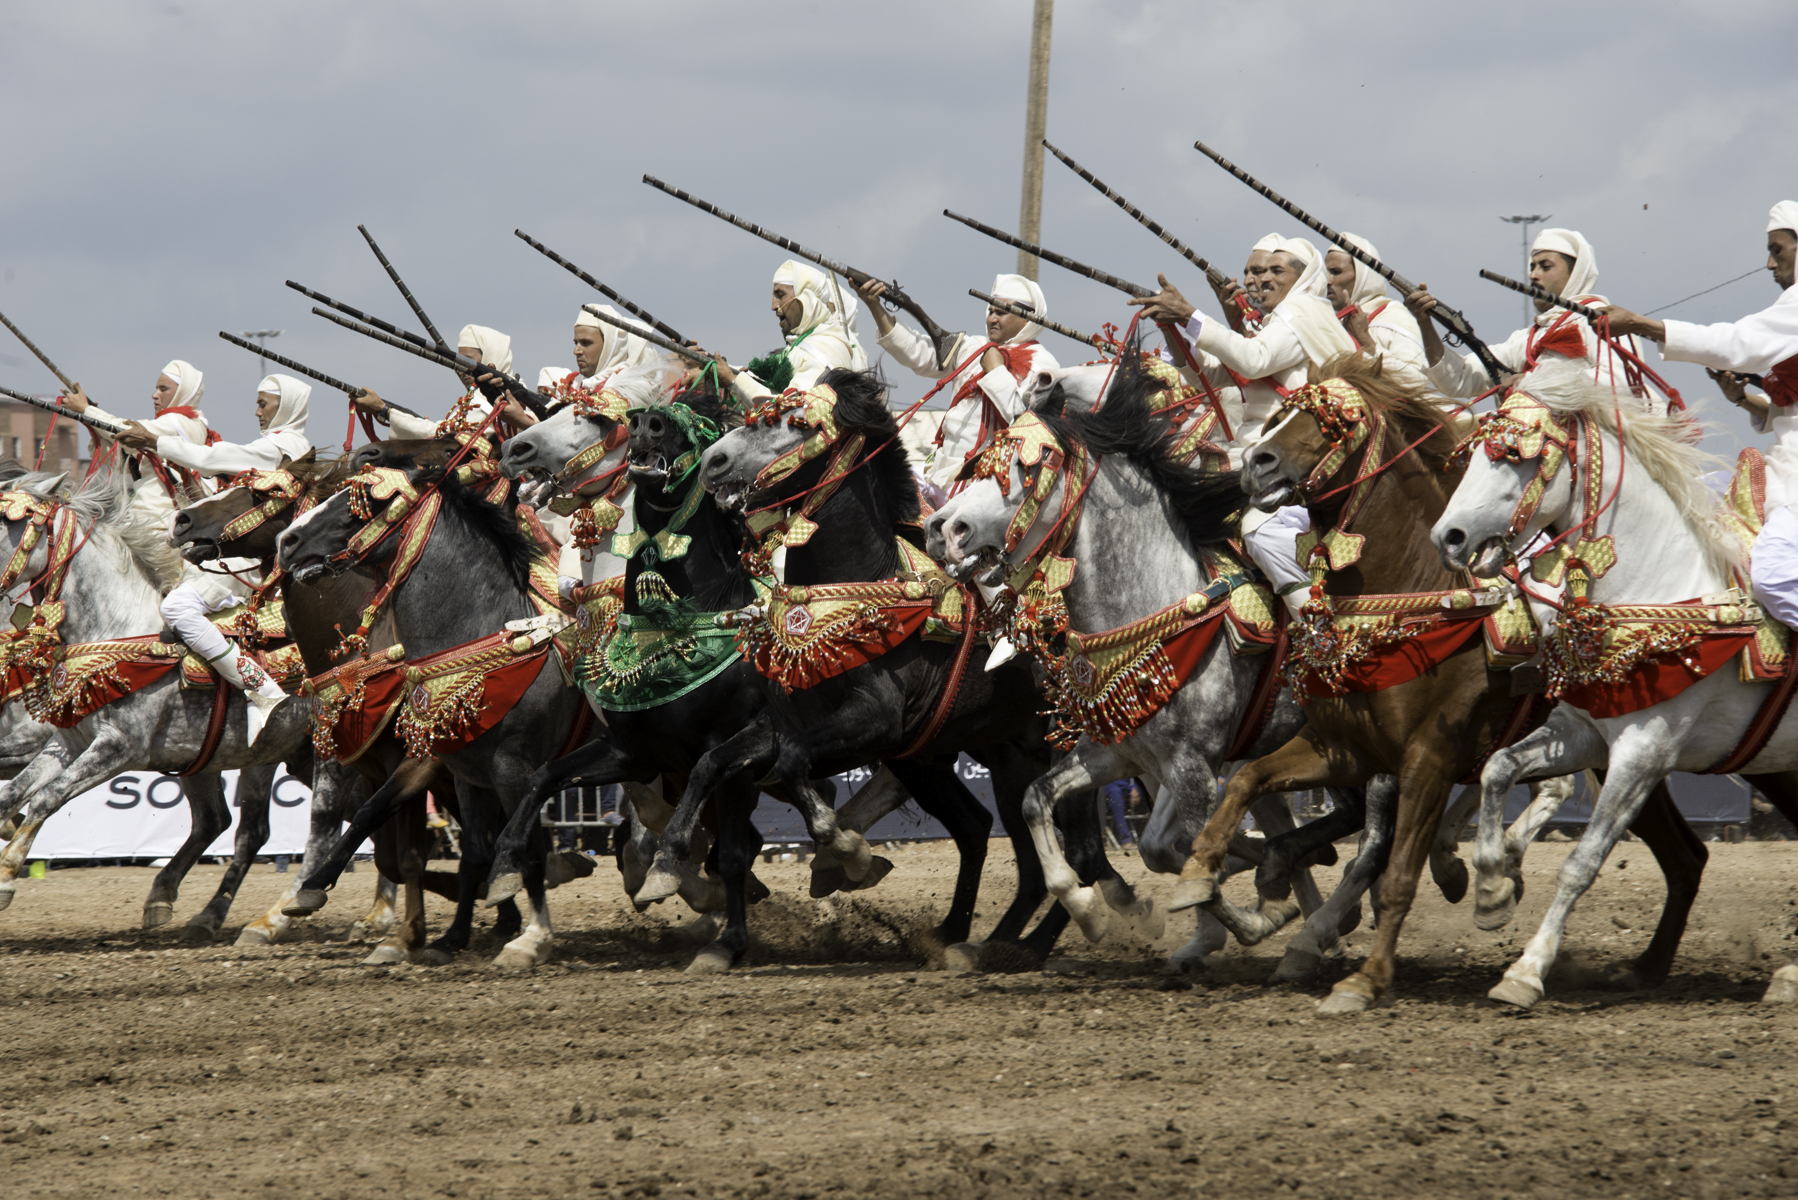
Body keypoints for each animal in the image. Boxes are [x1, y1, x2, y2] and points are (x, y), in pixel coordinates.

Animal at [1431, 359, 1798, 1014]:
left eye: (1514, 454)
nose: (1447, 537)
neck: (1663, 594)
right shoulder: (1583, 732)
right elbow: (1498, 767)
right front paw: (1493, 888)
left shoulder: (1643, 754)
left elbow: (1582, 861)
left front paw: (1526, 970)